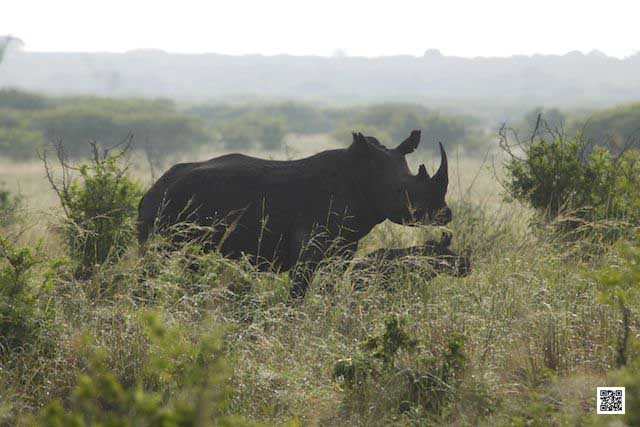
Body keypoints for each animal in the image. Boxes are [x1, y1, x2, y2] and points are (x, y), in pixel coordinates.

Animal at [138, 130, 452, 298]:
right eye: (402, 192)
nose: (444, 215)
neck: (363, 176)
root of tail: (155, 186)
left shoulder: (345, 245)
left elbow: (331, 284)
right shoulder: (309, 245)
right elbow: (299, 289)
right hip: (166, 207)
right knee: (155, 259)